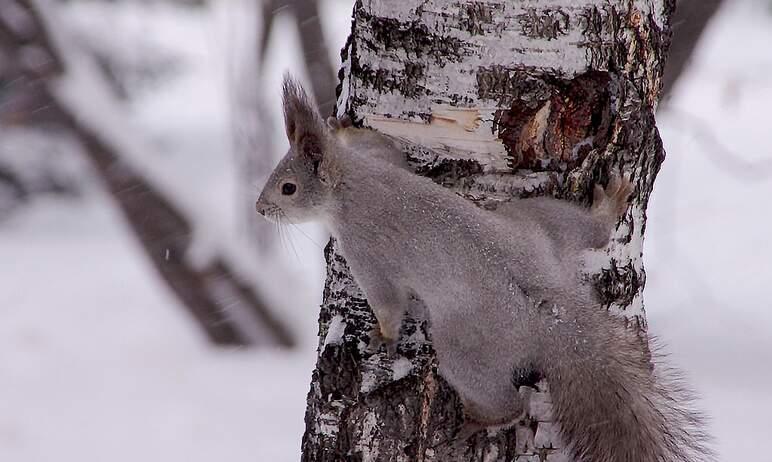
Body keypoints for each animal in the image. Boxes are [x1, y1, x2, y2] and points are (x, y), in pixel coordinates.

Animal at [255, 76, 712, 462]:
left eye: (288, 188)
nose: (260, 209)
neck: (351, 184)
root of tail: (554, 316)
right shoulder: (381, 162)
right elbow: (388, 149)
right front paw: (343, 128)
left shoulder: (367, 251)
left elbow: (387, 302)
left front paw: (382, 335)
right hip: (537, 221)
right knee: (592, 233)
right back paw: (608, 207)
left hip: (465, 349)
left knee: (509, 404)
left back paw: (480, 420)